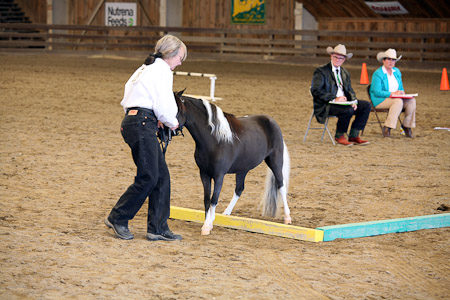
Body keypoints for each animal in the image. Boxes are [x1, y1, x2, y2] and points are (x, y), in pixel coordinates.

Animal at [174, 91, 290, 234]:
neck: (214, 140)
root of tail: (272, 122)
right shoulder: (204, 174)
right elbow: (207, 198)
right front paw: (208, 222)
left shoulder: (219, 175)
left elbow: (214, 198)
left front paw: (207, 226)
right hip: (243, 168)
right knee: (239, 189)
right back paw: (226, 213)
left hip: (275, 161)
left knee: (281, 185)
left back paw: (287, 217)